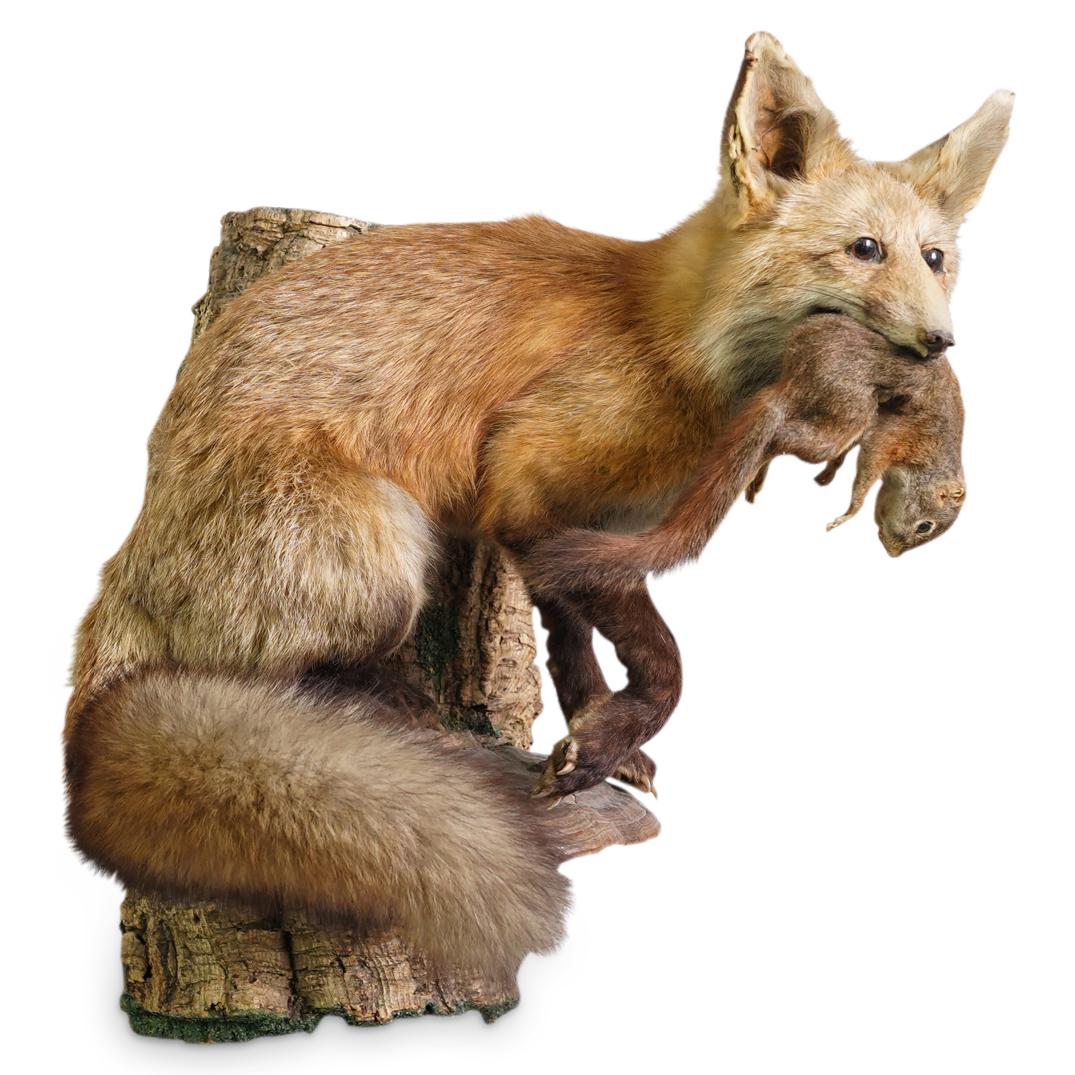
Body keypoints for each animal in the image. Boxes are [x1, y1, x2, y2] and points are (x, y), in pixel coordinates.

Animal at [65, 32, 1010, 977]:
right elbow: (664, 663)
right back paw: (404, 718)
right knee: (277, 676)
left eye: (933, 258)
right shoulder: (526, 480)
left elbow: (574, 645)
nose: (940, 342)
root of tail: (123, 565)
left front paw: (598, 732)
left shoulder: (577, 528)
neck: (675, 347)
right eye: (862, 249)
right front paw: (597, 746)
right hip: (381, 549)